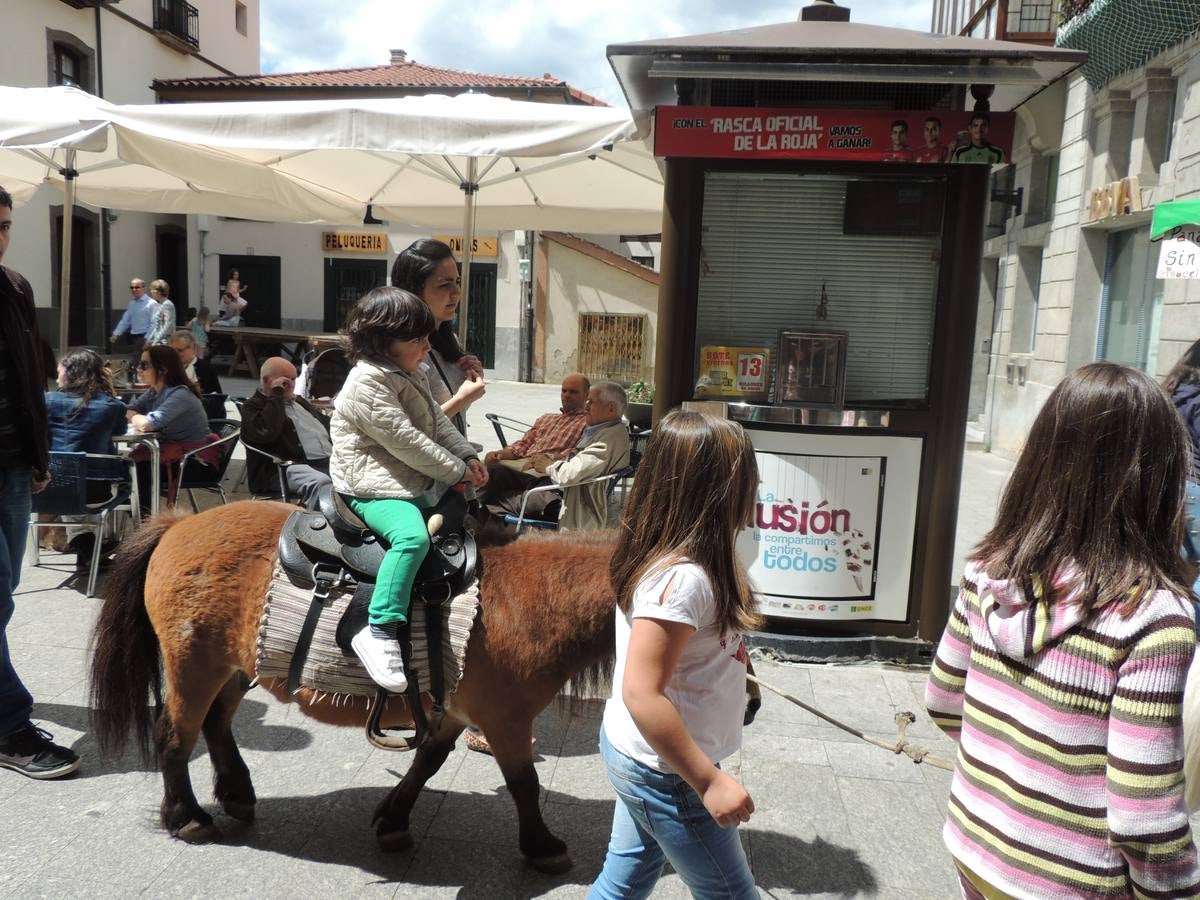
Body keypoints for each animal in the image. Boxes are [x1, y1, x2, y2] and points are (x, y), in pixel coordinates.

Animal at [87, 501, 619, 873]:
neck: (531, 596)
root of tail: (178, 522)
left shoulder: (455, 711)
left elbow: (427, 763)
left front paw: (394, 820)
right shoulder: (505, 718)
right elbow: (523, 784)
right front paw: (543, 846)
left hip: (237, 665)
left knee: (217, 724)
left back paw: (236, 793)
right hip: (192, 664)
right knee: (175, 737)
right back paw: (187, 817)